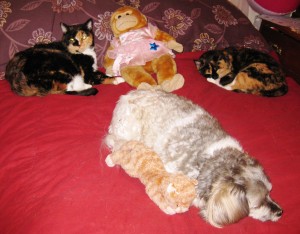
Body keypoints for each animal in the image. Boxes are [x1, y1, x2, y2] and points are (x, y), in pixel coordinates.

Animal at [105, 89, 282, 227]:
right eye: (258, 205)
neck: (217, 162)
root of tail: (126, 96)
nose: (280, 212)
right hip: (130, 130)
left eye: (270, 192)